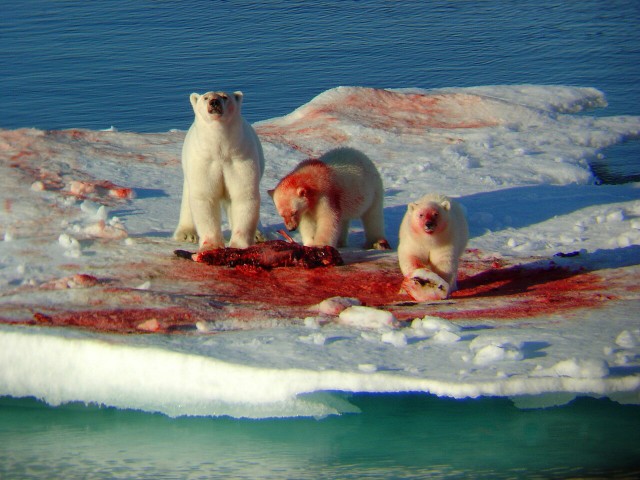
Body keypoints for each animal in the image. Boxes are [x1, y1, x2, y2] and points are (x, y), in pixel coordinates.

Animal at [174, 90, 264, 249]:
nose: (214, 102)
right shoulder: (205, 162)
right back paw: (187, 234)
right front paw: (212, 246)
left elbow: (243, 194)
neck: (220, 151)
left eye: (224, 97)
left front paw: (238, 245)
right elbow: (205, 196)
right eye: (205, 98)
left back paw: (258, 235)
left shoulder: (239, 159)